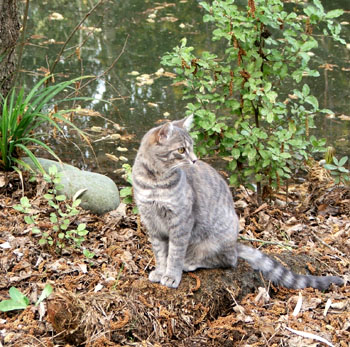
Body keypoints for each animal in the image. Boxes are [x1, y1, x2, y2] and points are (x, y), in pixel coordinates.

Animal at [133, 117, 344, 290]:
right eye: (181, 150)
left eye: (191, 148)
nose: (194, 160)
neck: (155, 182)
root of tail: (235, 244)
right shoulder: (152, 222)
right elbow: (160, 252)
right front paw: (161, 271)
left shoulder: (181, 221)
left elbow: (175, 253)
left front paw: (171, 275)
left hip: (217, 236)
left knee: (227, 260)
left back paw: (191, 262)